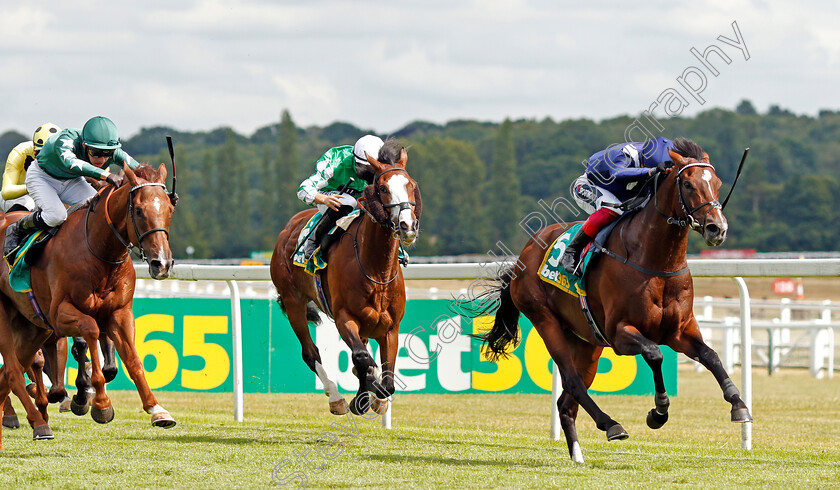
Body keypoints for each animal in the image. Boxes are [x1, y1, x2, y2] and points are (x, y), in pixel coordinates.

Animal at [0, 164, 177, 448]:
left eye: (170, 208)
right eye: (139, 210)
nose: (162, 263)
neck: (99, 252)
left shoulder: (120, 313)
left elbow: (132, 360)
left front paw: (156, 409)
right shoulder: (60, 315)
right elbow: (90, 330)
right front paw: (99, 403)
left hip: (31, 328)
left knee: (8, 373)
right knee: (15, 372)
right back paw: (38, 423)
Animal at [270, 140, 420, 416]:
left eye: (411, 185)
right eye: (383, 188)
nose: (407, 225)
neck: (377, 269)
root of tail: (287, 229)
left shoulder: (390, 327)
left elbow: (387, 380)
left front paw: (375, 397)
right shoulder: (344, 317)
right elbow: (361, 359)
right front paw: (361, 398)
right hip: (293, 301)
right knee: (311, 353)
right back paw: (336, 398)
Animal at [472, 139, 756, 464]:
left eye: (717, 183)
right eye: (687, 183)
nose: (716, 228)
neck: (656, 261)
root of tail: (525, 253)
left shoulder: (680, 330)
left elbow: (711, 356)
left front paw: (739, 406)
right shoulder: (620, 333)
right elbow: (654, 354)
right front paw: (658, 411)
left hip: (586, 342)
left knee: (566, 402)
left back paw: (578, 456)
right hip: (546, 321)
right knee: (572, 381)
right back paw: (611, 424)